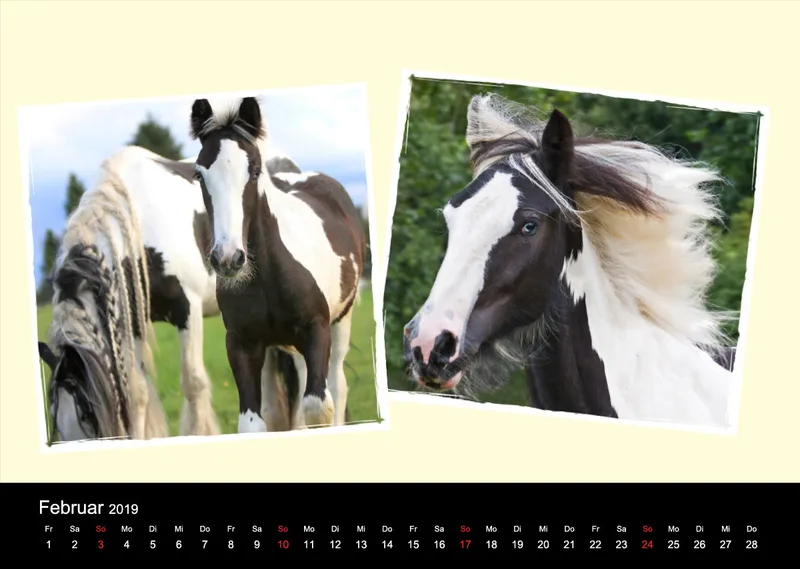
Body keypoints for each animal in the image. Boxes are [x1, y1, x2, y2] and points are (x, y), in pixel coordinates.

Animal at [37, 143, 305, 442]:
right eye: (58, 425)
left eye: (87, 416)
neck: (139, 225)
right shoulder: (133, 322)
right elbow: (138, 391)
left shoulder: (188, 309)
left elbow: (193, 382)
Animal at [189, 96, 366, 433]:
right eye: (199, 175)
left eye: (255, 171)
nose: (228, 259)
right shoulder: (242, 344)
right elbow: (254, 422)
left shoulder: (317, 330)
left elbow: (318, 407)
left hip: (342, 322)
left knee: (338, 387)